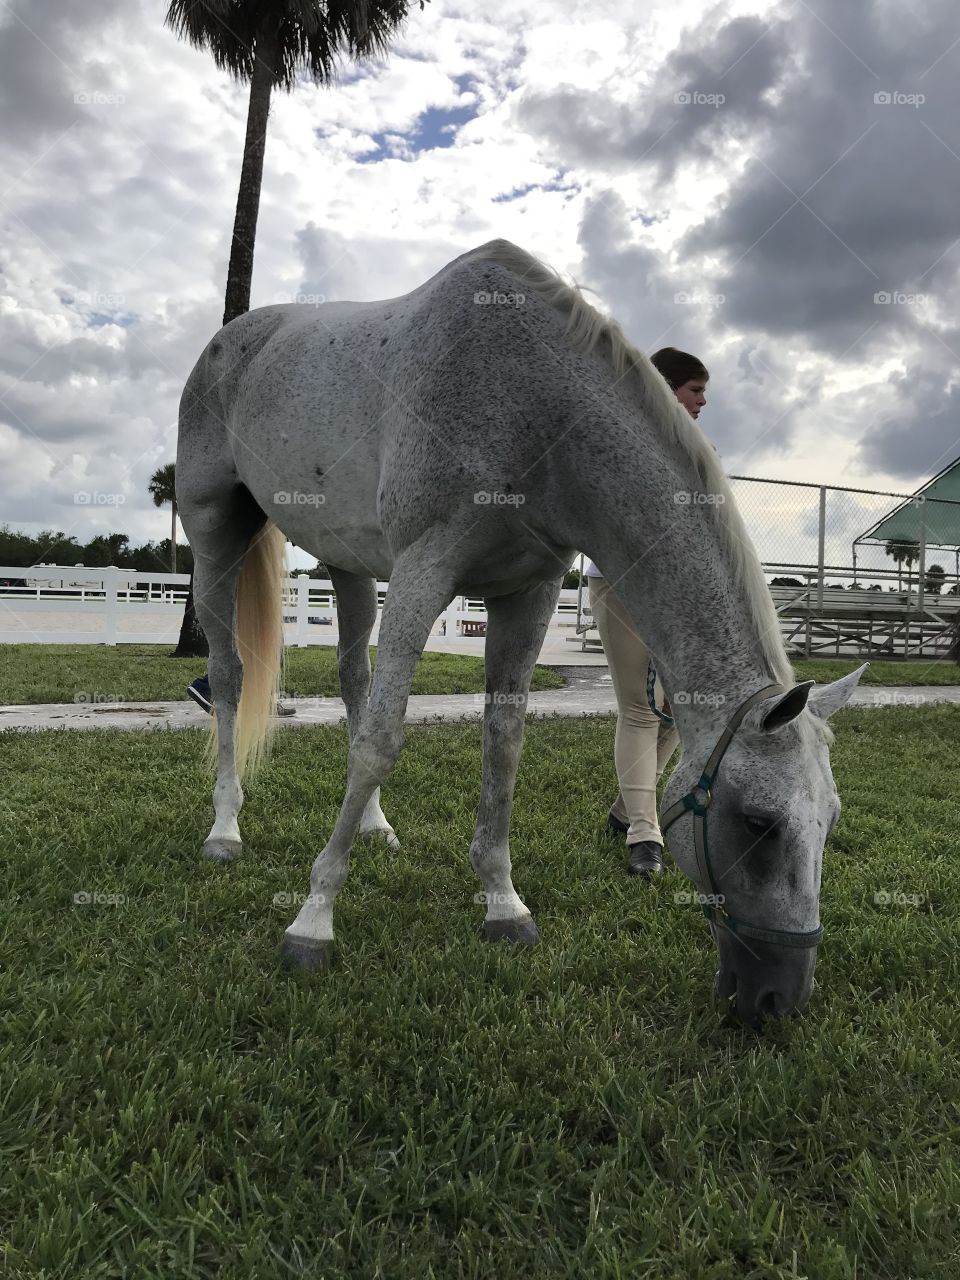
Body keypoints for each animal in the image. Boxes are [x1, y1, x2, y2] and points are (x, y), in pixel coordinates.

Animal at [175, 238, 865, 1028]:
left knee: (351, 680)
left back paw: (376, 827)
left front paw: (503, 905)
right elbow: (381, 741)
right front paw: (312, 920)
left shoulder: (526, 593)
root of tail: (232, 339)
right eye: (757, 822)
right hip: (215, 536)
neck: (532, 404)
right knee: (231, 676)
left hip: (346, 564)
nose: (780, 998)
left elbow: (501, 746)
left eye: (830, 821)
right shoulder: (423, 572)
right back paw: (225, 830)